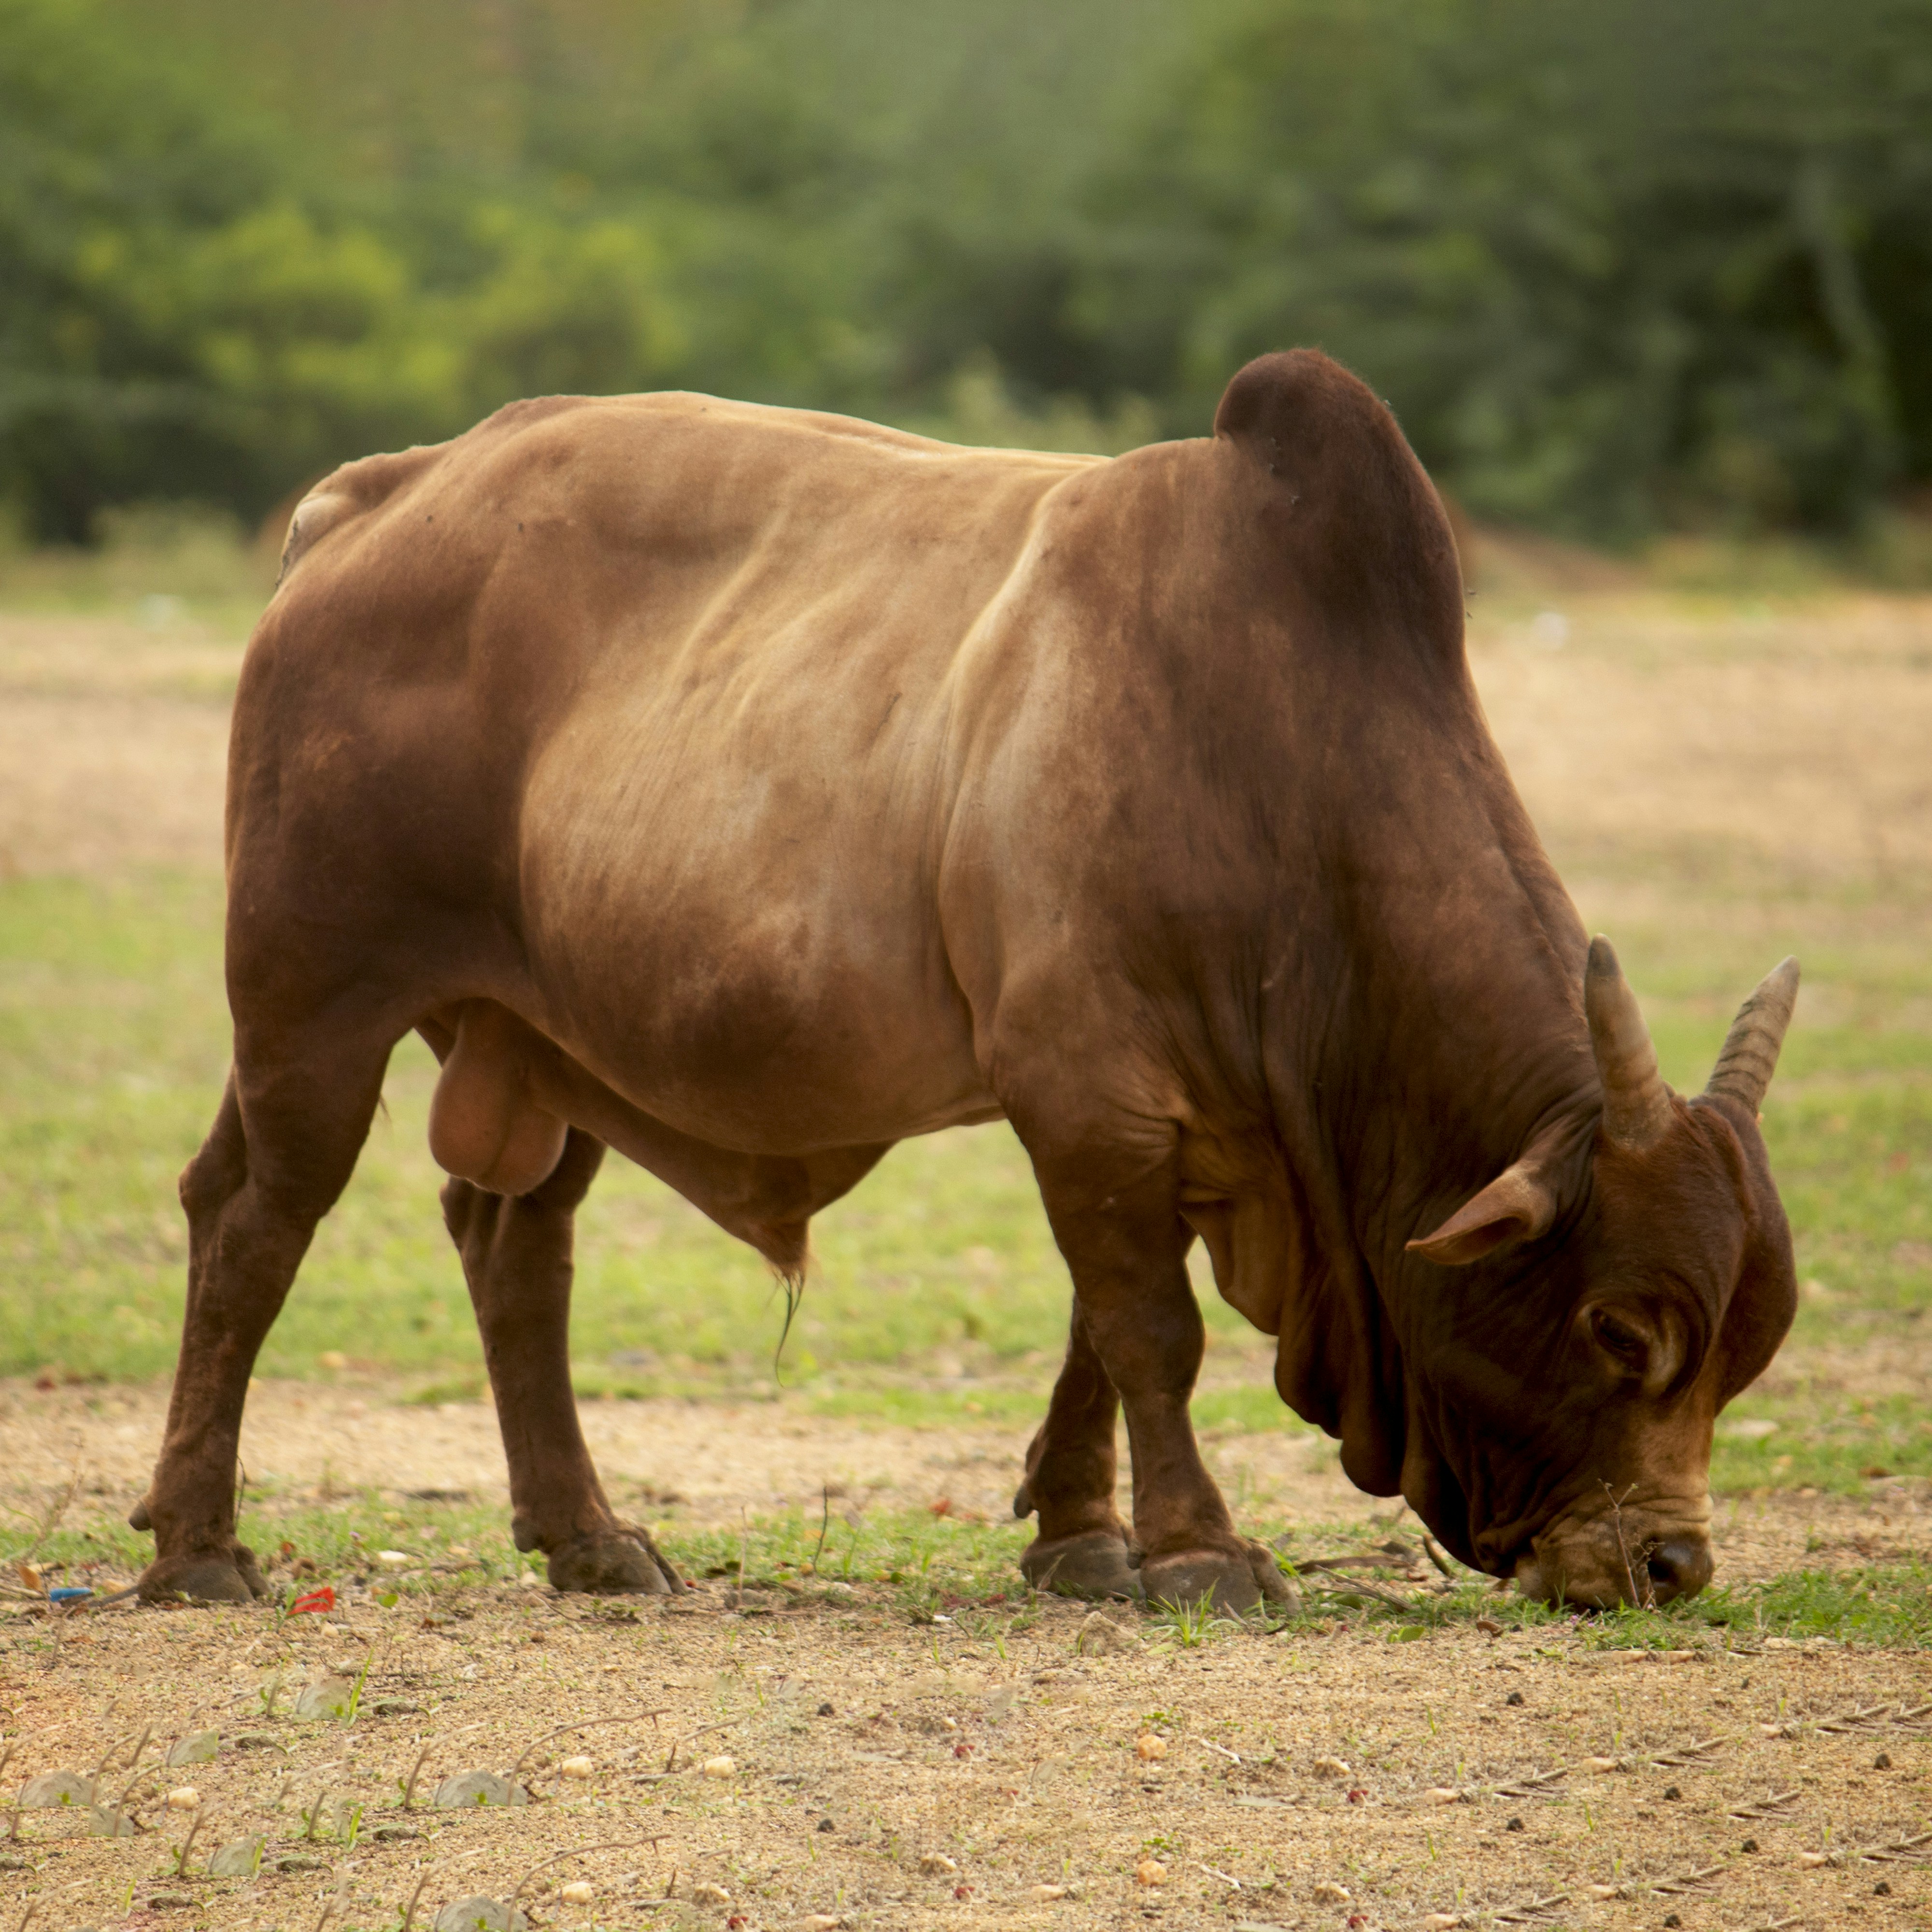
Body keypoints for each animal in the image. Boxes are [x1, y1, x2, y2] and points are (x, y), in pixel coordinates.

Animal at [127, 350, 1798, 1614]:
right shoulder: (1087, 1086)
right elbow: (1152, 1331)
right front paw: (1199, 1550)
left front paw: (1083, 1537)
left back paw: (588, 1538)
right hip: (312, 997)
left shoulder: (1149, 1122)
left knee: (511, 1242)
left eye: (1747, 1352)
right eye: (1619, 1332)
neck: (1279, 765)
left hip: (541, 1036)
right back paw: (200, 1549)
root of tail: (382, 493)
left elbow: (1097, 1328)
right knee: (254, 1220)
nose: (1668, 1566)